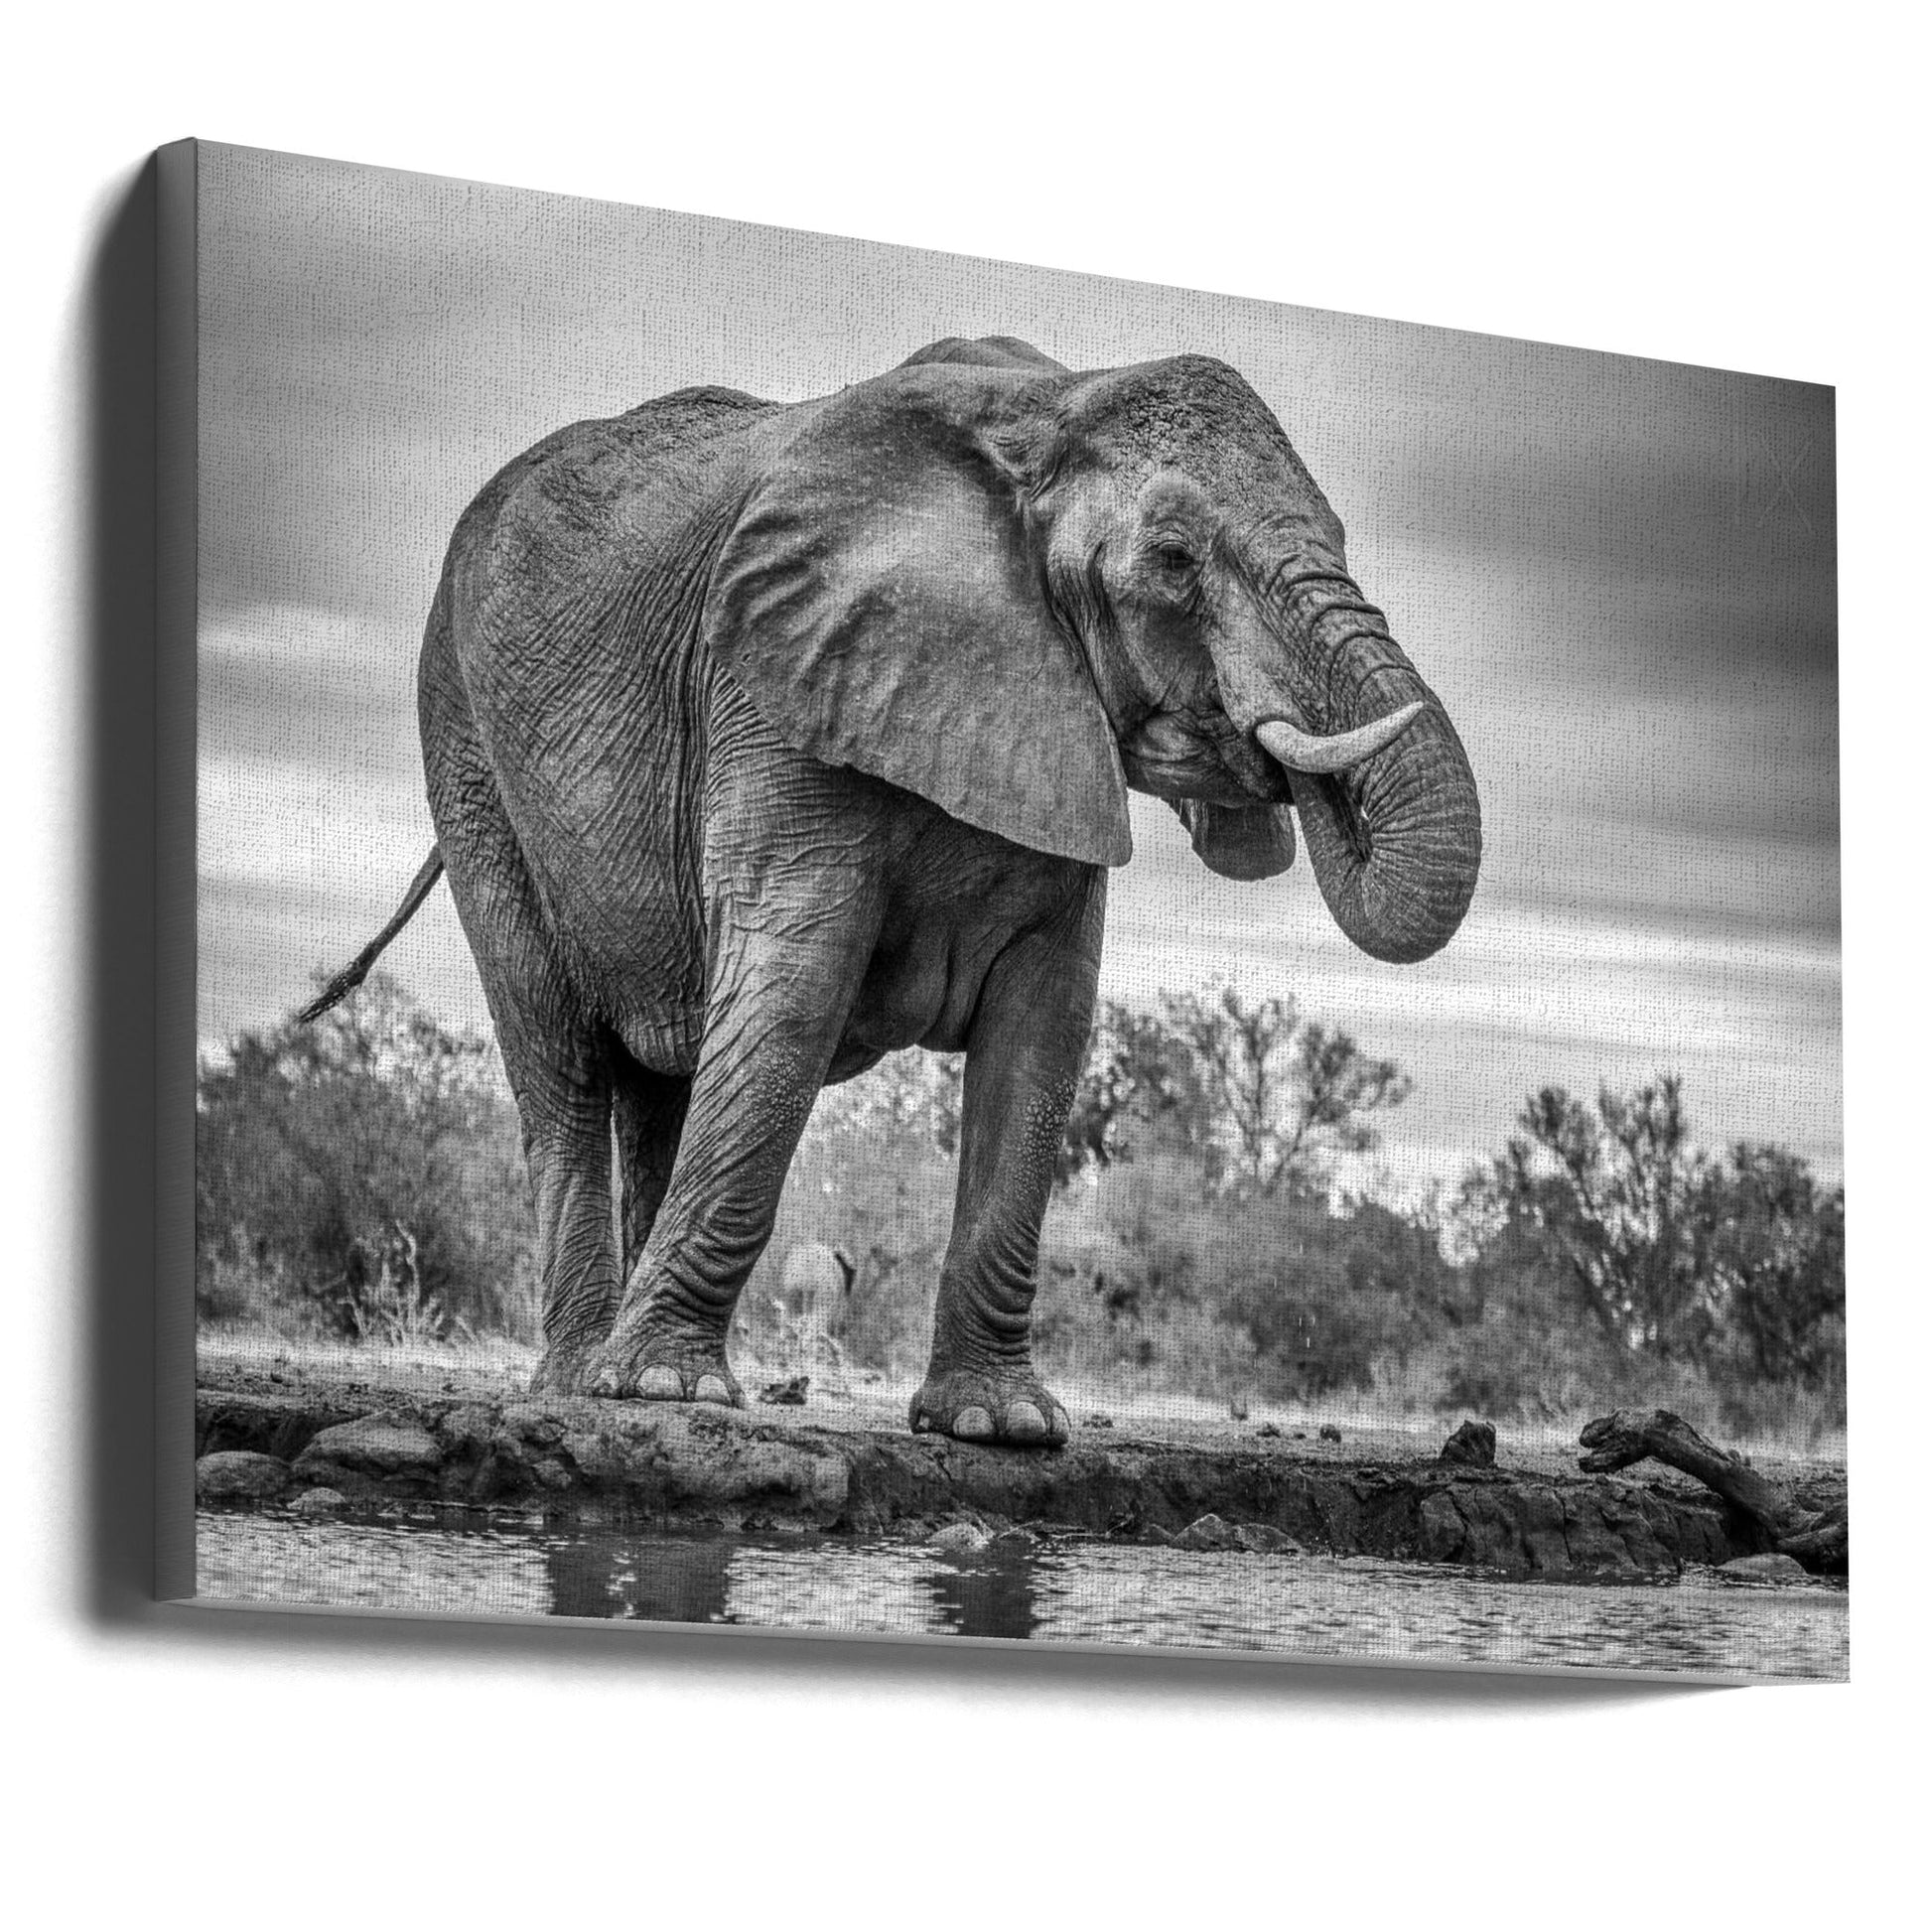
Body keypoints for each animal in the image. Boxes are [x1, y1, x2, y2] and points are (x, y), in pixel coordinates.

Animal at [312, 333, 1481, 1446]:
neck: (1049, 409)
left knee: (662, 1078)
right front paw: (662, 1393)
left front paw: (1000, 1425)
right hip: (466, 745)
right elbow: (791, 992)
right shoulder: (768, 687)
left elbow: (1043, 1031)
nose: (1280, 767)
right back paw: (582, 1379)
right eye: (1173, 559)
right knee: (561, 1063)